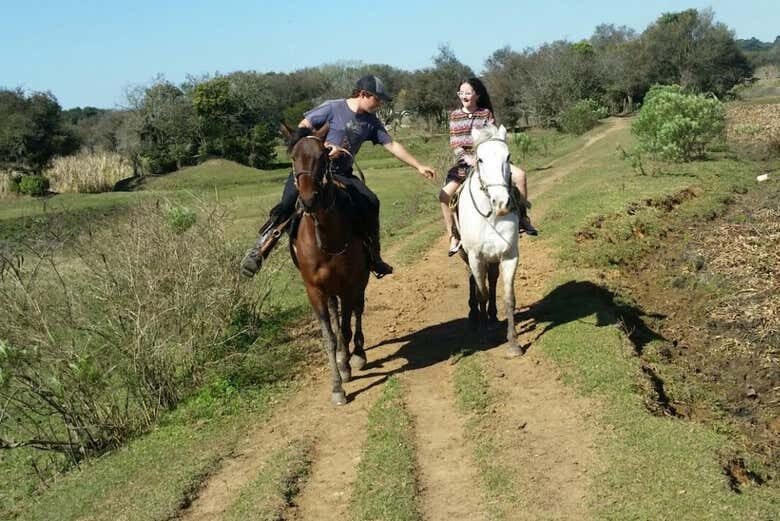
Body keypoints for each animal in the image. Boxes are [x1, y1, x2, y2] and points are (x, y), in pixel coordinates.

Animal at [282, 123, 370, 405]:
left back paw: (358, 354)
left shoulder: (349, 284)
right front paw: (337, 386)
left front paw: (347, 366)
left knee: (357, 310)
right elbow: (329, 337)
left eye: (322, 156)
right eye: (293, 158)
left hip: (360, 280)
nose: (308, 200)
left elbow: (345, 327)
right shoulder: (315, 291)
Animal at [457, 124, 522, 357]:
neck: (491, 216)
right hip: (466, 255)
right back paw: (474, 317)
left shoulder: (510, 255)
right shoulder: (476, 257)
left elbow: (508, 296)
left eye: (508, 157)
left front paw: (513, 343)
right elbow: (481, 293)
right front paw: (484, 334)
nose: (501, 202)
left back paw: (492, 317)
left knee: (492, 280)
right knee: (473, 282)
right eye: (480, 159)